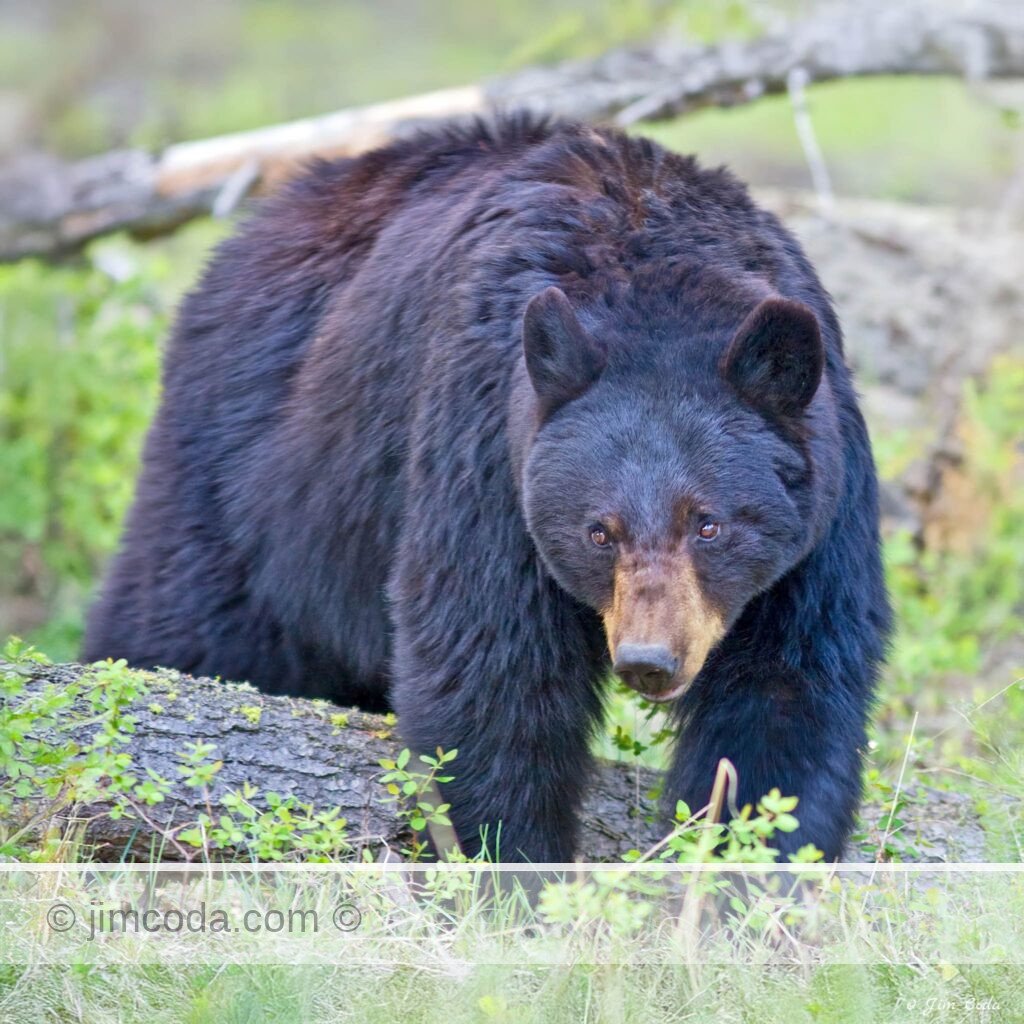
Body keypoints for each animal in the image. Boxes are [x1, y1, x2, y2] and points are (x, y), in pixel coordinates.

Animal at [83, 114, 891, 863]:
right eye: (599, 530)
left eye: (709, 524)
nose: (648, 660)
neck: (653, 267)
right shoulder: (487, 445)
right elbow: (490, 663)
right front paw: (514, 869)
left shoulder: (824, 506)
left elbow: (788, 682)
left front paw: (740, 875)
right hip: (243, 462)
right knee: (181, 612)